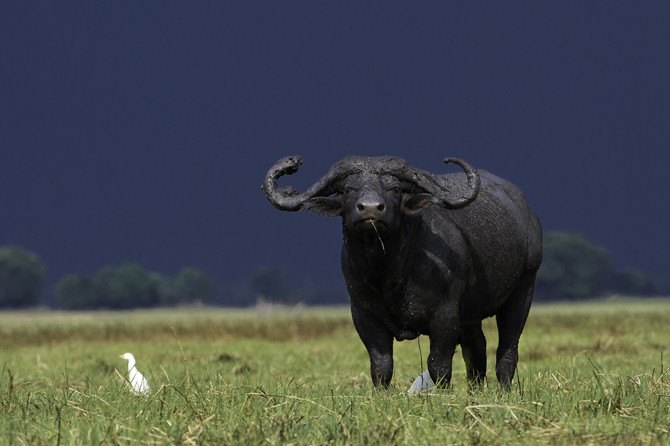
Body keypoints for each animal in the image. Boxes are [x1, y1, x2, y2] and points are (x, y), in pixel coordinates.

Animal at [262, 155, 542, 389]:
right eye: (348, 189)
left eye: (394, 189)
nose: (371, 208)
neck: (388, 273)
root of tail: (529, 214)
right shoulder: (363, 316)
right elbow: (381, 366)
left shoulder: (446, 315)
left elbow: (438, 365)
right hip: (472, 314)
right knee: (476, 349)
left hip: (523, 290)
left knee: (507, 347)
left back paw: (504, 391)